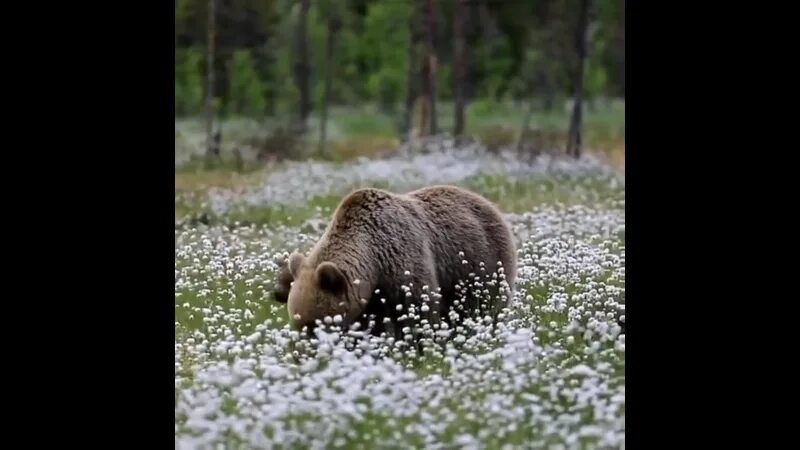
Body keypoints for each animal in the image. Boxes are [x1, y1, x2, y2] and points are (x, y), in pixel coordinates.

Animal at [272, 184, 516, 338]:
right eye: (298, 323)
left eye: (316, 323)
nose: (304, 352)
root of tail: (487, 202)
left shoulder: (403, 263)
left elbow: (417, 312)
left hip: (482, 263)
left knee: (486, 305)